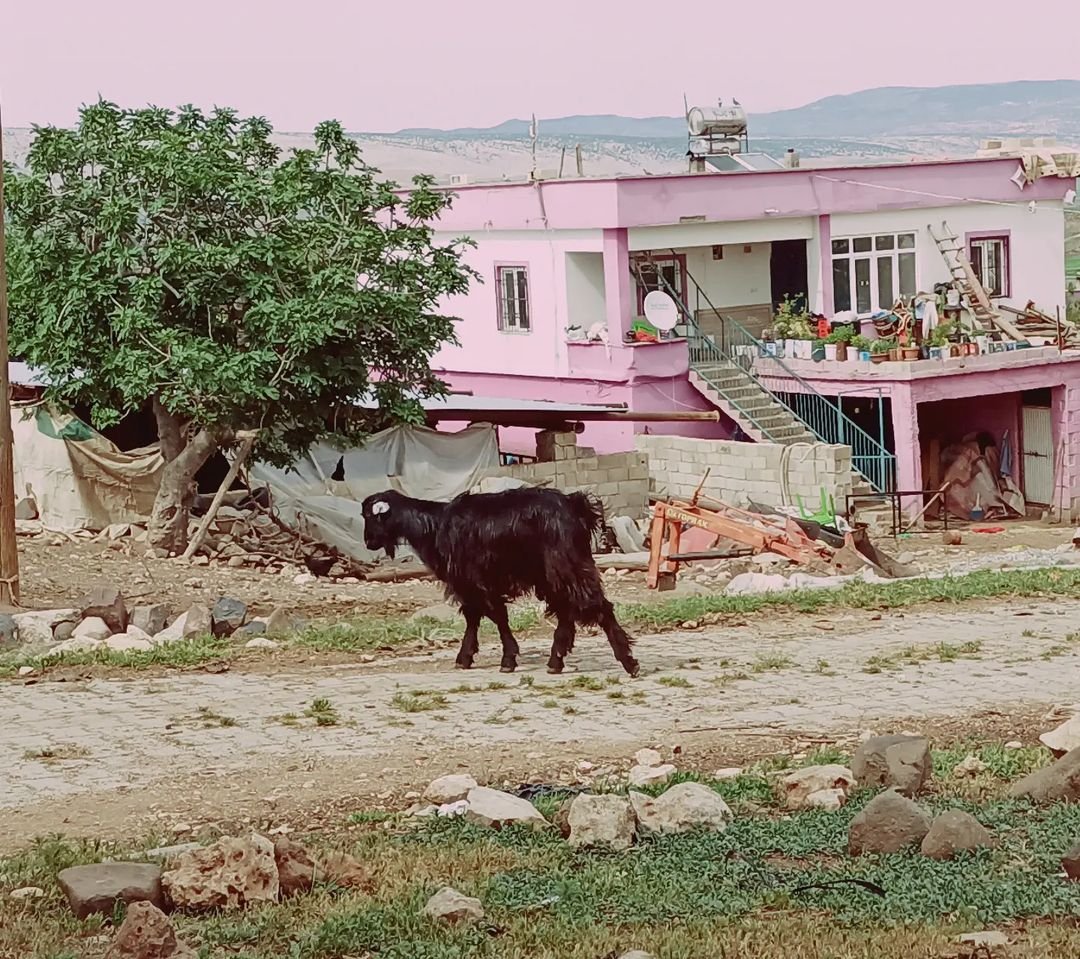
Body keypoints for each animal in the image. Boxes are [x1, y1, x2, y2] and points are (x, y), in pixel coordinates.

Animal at [362, 490, 635, 678]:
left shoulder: (474, 581)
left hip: (567, 566)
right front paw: (466, 657)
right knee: (567, 610)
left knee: (596, 605)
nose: (368, 542)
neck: (434, 525)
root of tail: (575, 505)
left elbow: (495, 615)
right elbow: (475, 617)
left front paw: (507, 659)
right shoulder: (470, 585)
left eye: (369, 516)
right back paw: (556, 661)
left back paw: (629, 662)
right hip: (554, 574)